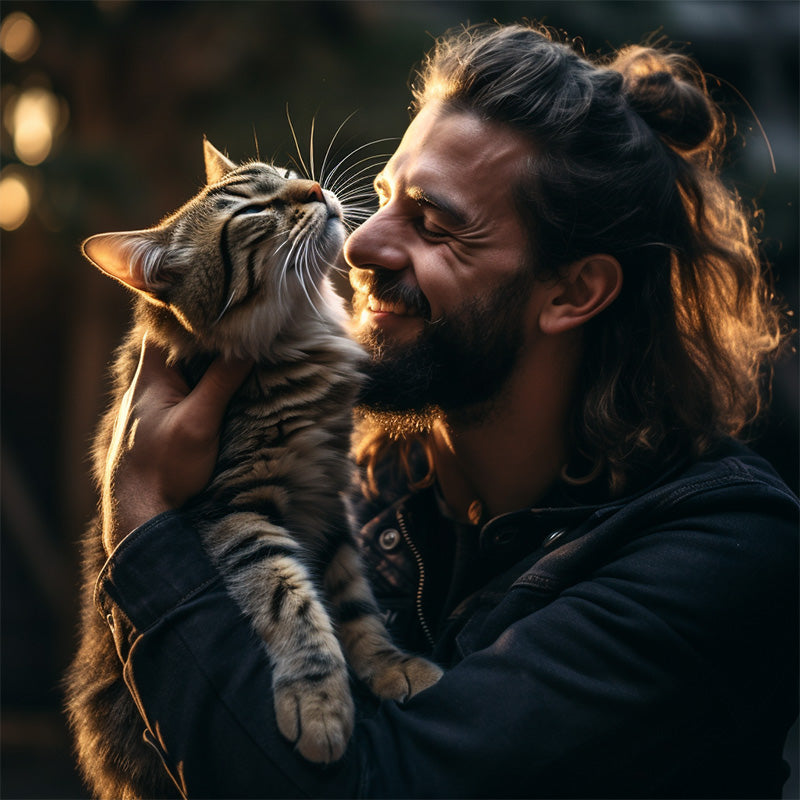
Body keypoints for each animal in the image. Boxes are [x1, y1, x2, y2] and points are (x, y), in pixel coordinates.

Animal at [66, 139, 444, 800]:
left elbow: (354, 605)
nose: (315, 190)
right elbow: (290, 602)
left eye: (288, 175)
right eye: (251, 213)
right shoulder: (233, 509)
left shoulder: (330, 504)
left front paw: (389, 665)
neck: (301, 335)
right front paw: (320, 705)